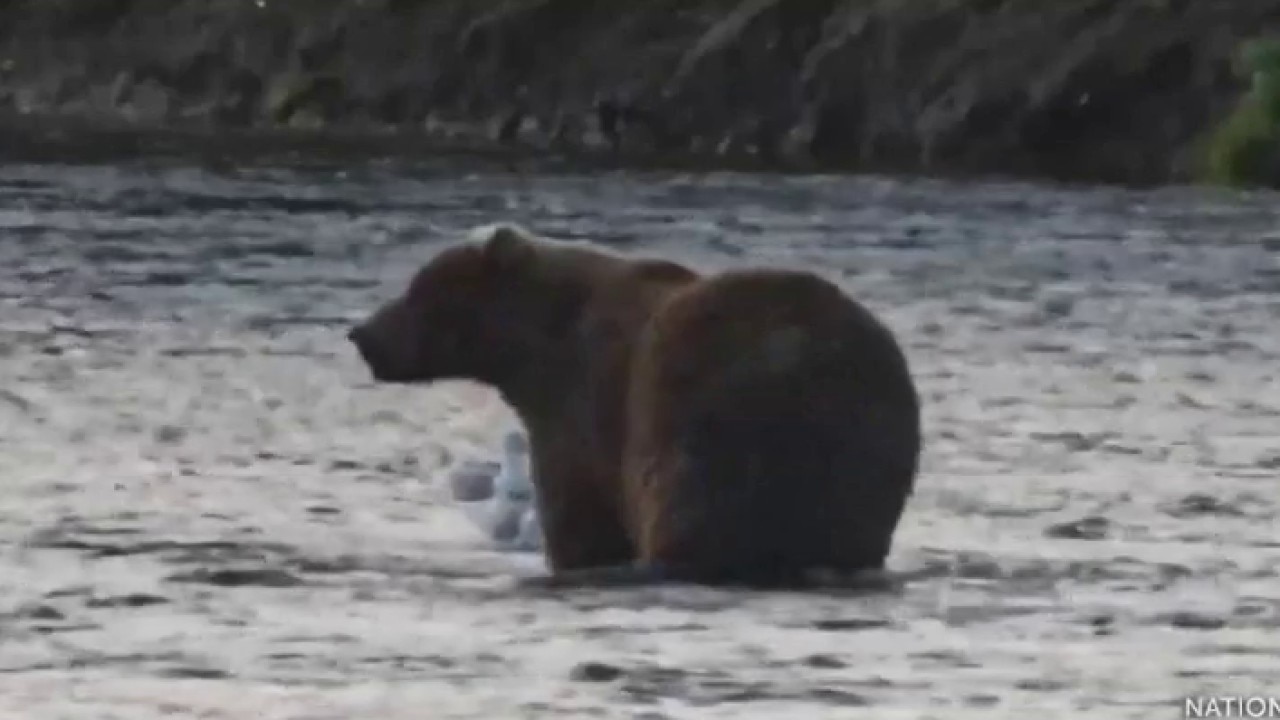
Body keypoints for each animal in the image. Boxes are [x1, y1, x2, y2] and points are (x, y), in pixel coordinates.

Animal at [347, 223, 922, 591]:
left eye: (418, 288)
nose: (362, 333)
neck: (537, 344)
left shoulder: (583, 404)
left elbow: (580, 514)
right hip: (858, 447)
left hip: (702, 419)